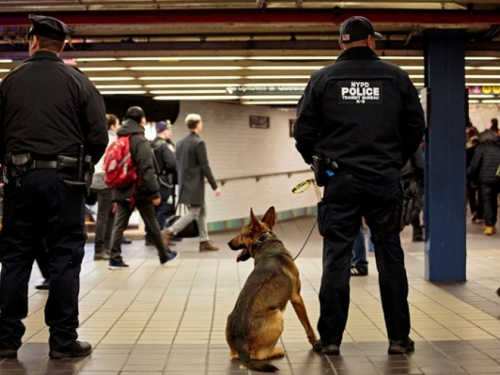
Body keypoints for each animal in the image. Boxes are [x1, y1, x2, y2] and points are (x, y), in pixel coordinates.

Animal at [227, 209, 316, 374]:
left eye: (241, 234)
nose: (228, 243)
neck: (266, 243)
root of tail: (241, 343)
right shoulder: (297, 298)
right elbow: (308, 326)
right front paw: (317, 343)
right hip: (277, 315)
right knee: (260, 355)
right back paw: (277, 351)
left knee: (235, 355)